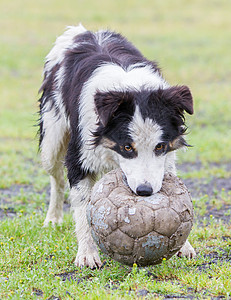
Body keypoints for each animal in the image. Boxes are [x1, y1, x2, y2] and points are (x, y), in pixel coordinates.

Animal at [38, 24, 195, 268]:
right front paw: (87, 254)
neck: (130, 87)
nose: (144, 192)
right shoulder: (79, 153)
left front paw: (183, 245)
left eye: (159, 147)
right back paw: (53, 218)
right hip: (52, 138)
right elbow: (82, 206)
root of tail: (81, 31)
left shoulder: (165, 159)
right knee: (57, 177)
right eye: (127, 147)